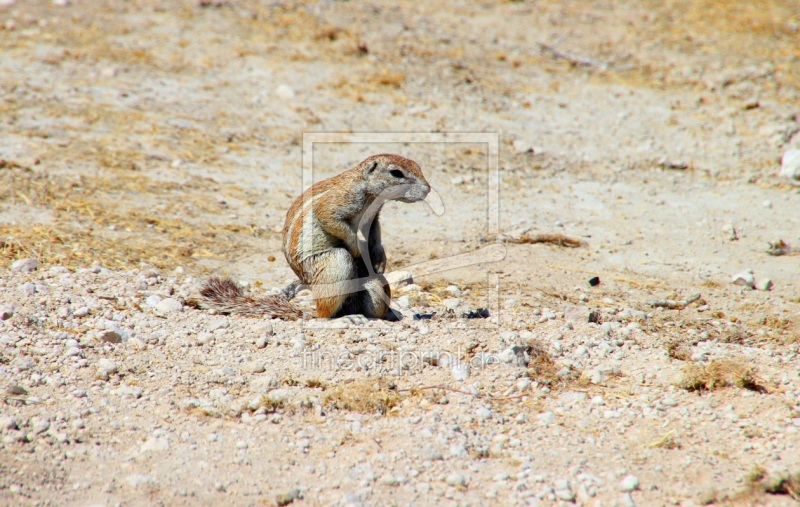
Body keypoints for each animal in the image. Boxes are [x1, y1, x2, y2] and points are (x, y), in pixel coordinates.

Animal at [199, 155, 432, 322]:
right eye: (396, 173)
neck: (368, 192)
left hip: (373, 285)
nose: (428, 189)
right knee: (323, 314)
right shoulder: (337, 203)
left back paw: (388, 313)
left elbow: (376, 236)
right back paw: (345, 318)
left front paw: (379, 258)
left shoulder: (374, 219)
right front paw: (357, 248)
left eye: (417, 165)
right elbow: (332, 220)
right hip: (332, 263)